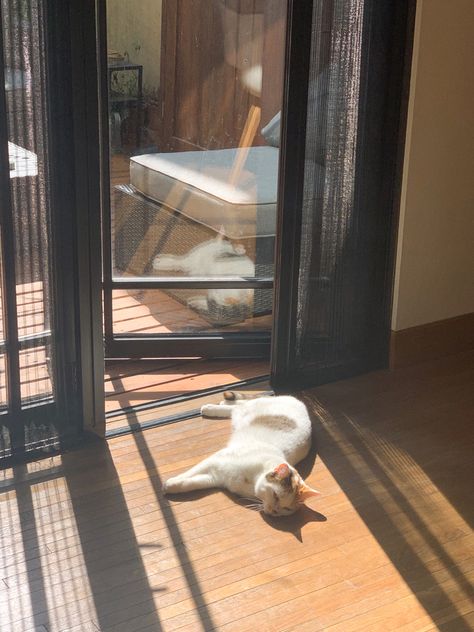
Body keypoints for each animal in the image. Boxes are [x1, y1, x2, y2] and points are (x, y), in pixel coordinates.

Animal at [161, 392, 320, 516]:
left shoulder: (216, 478)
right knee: (240, 405)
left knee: (237, 407)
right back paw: (211, 407)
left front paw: (172, 486)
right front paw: (170, 483)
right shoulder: (215, 460)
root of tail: (298, 401)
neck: (251, 482)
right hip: (251, 407)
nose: (274, 511)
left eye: (286, 509)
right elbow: (189, 474)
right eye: (275, 496)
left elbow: (191, 483)